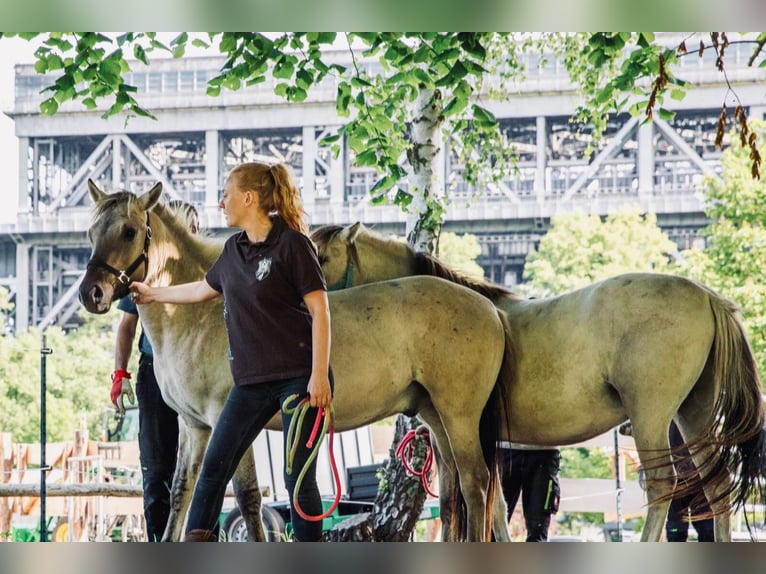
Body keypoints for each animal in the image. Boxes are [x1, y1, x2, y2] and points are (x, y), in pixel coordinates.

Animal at [76, 183, 516, 544]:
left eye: (129, 231)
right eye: (91, 232)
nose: (90, 294)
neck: (201, 314)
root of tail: (492, 311)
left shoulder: (226, 419)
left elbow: (248, 498)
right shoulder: (195, 425)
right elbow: (181, 494)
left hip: (459, 416)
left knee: (477, 484)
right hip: (436, 416)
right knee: (459, 489)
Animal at [310, 222, 766, 544]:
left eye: (321, 256)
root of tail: (708, 297)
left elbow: (488, 501)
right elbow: (493, 507)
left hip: (650, 415)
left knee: (663, 485)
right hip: (693, 414)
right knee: (717, 485)